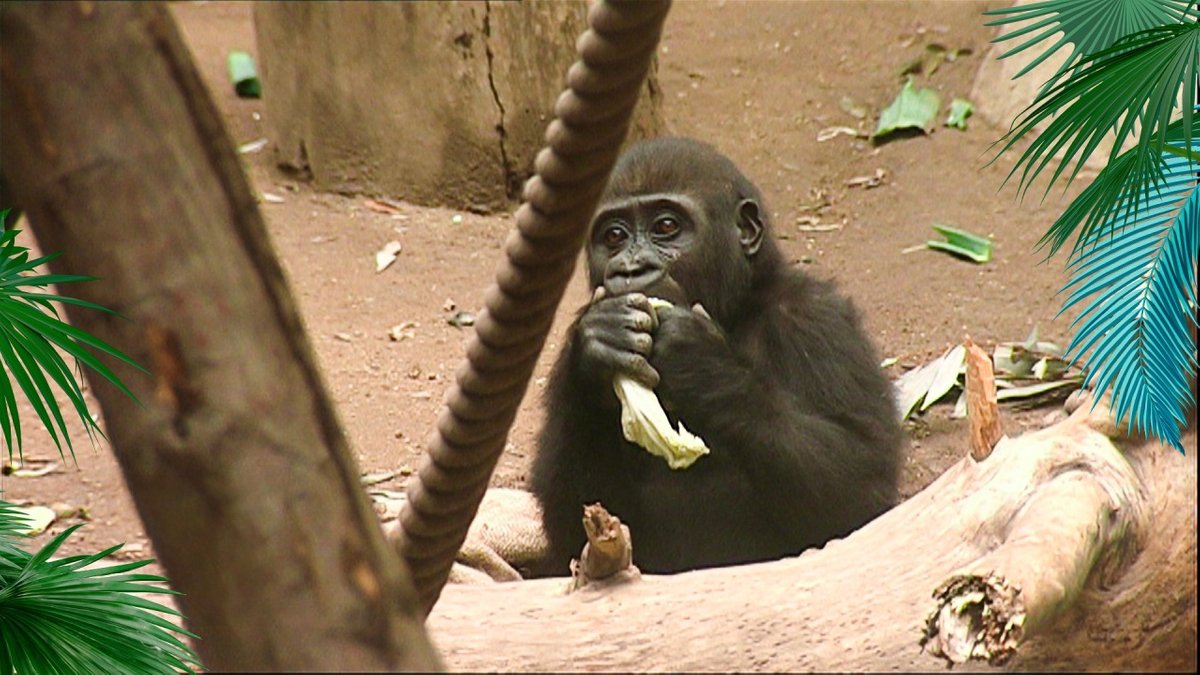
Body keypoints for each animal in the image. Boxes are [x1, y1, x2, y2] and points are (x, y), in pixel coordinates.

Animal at [528, 137, 903, 575]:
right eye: (614, 235)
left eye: (666, 227)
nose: (630, 269)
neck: (738, 308)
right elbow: (580, 528)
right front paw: (601, 346)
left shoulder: (815, 318)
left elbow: (862, 491)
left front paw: (701, 366)